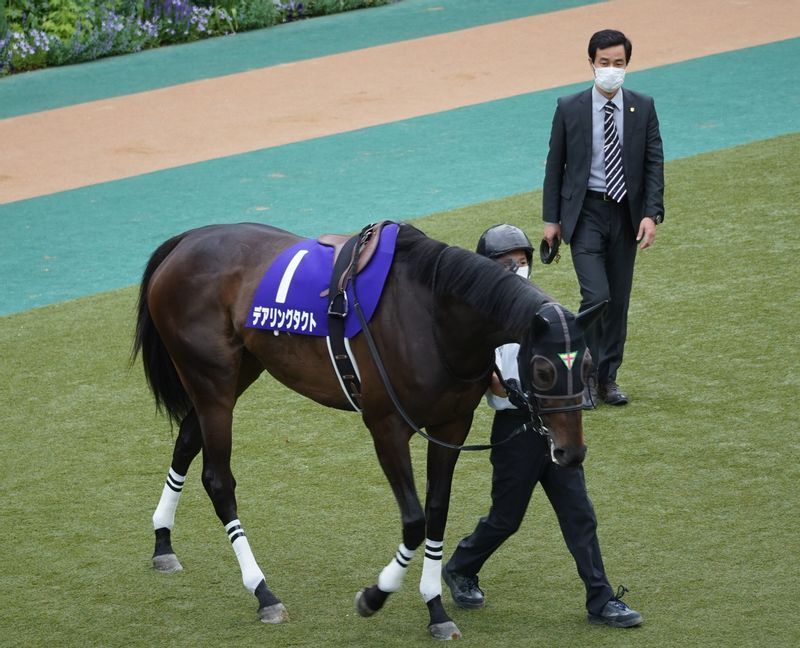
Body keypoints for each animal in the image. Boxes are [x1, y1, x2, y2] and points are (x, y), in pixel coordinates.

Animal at [134, 221, 604, 636]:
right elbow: (414, 520)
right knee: (218, 480)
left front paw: (436, 610)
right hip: (210, 379)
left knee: (186, 439)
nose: (571, 453)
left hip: (237, 372)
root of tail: (184, 241)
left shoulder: (452, 424)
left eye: (587, 364)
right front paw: (374, 596)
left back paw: (163, 543)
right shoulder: (386, 426)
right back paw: (264, 593)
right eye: (542, 369)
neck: (433, 317)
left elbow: (436, 513)